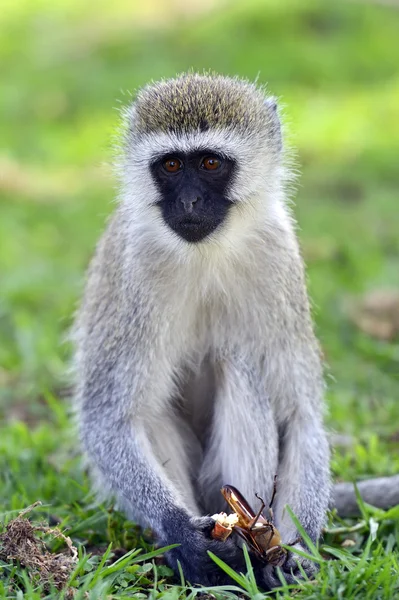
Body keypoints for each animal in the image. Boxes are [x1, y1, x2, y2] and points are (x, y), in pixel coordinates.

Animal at [74, 72, 332, 588]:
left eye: (210, 163)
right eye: (172, 165)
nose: (190, 200)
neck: (205, 254)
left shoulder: (278, 257)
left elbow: (301, 416)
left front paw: (299, 551)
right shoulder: (134, 269)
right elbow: (107, 419)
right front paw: (183, 536)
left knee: (240, 366)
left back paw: (255, 547)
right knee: (146, 408)